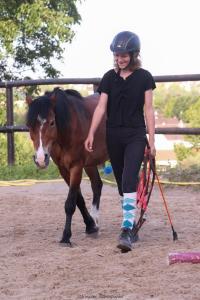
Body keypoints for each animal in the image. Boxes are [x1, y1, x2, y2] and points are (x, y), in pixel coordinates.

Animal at [26, 87, 108, 246]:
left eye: (52, 122)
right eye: (30, 125)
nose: (41, 159)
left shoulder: (76, 166)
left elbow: (70, 203)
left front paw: (66, 237)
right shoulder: (63, 169)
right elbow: (78, 200)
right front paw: (90, 226)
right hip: (90, 164)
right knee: (97, 185)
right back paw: (95, 221)